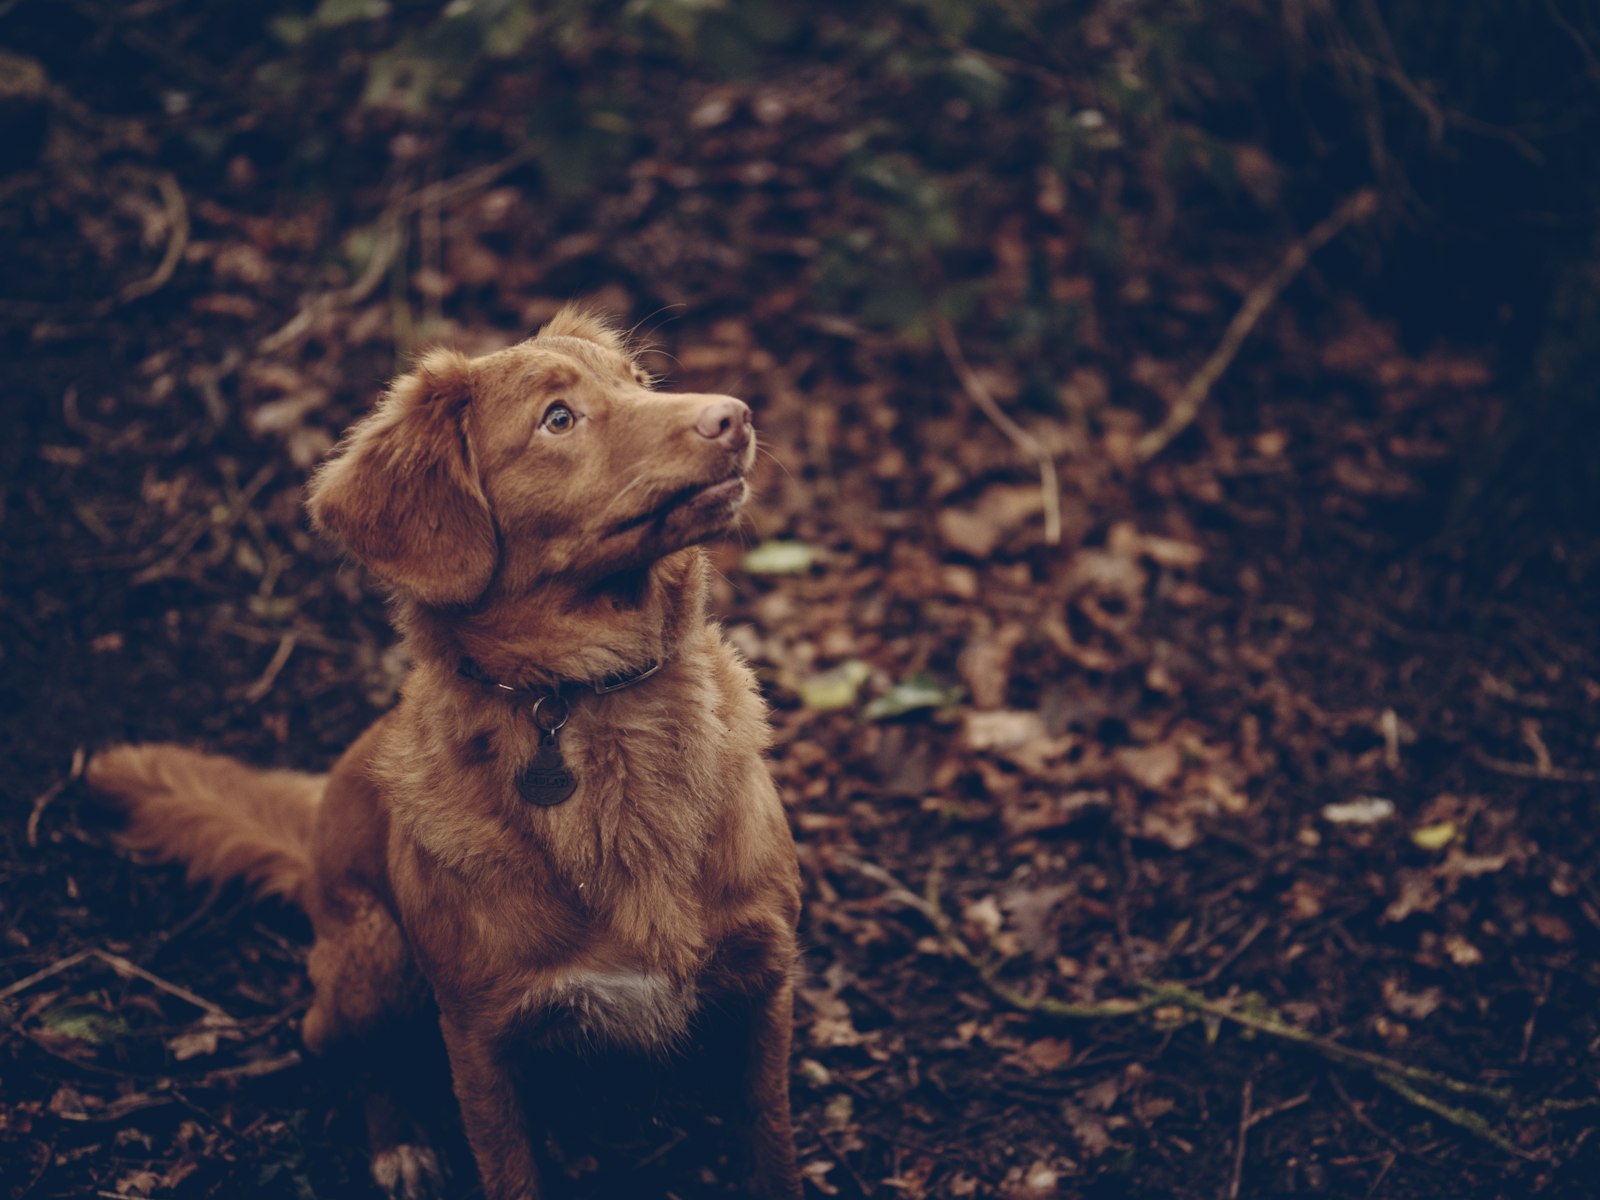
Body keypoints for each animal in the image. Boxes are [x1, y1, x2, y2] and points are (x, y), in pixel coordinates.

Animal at [90, 312, 800, 1200]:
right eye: (557, 419)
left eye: (639, 381)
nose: (734, 416)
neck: (598, 704)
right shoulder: (479, 1032)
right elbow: (510, 1171)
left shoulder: (766, 984)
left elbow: (770, 1144)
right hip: (373, 959)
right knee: (346, 1054)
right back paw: (400, 1147)